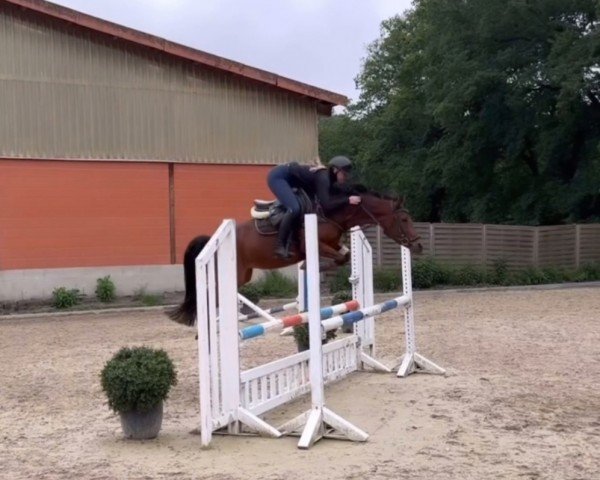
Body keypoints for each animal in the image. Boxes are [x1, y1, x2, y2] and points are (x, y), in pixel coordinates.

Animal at [166, 190, 424, 326]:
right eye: (404, 219)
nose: (418, 245)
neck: (329, 214)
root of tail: (213, 237)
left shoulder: (332, 244)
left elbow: (346, 255)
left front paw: (312, 268)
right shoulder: (316, 245)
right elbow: (337, 259)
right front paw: (311, 267)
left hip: (243, 275)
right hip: (233, 273)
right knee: (211, 293)